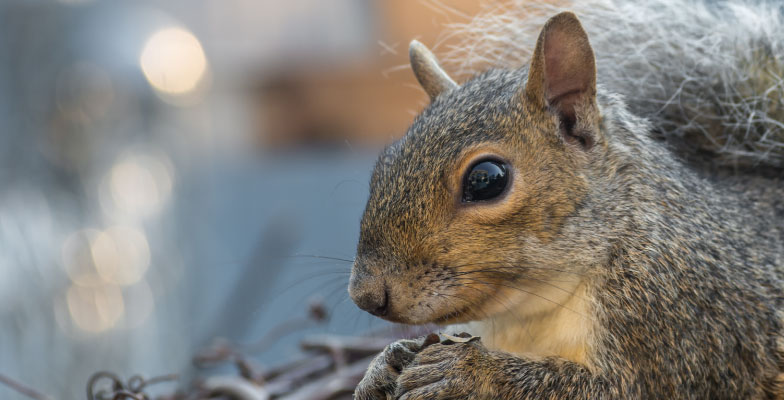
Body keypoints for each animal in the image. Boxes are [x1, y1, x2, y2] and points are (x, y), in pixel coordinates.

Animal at [350, 1, 784, 398]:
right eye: (383, 165)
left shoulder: (675, 325)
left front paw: (468, 373)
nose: (366, 296)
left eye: (486, 180)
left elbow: (612, 388)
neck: (531, 311)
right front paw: (385, 364)